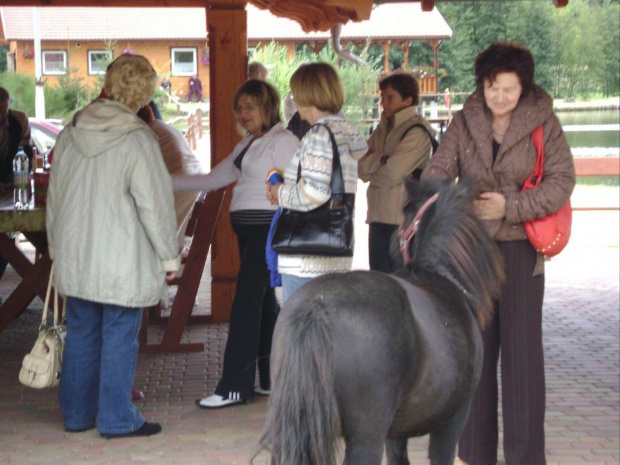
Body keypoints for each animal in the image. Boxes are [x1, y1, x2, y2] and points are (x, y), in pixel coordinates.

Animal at [256, 179, 504, 464]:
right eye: (405, 213)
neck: (438, 275)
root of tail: (316, 307)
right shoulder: (452, 421)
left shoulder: (396, 432)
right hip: (367, 437)